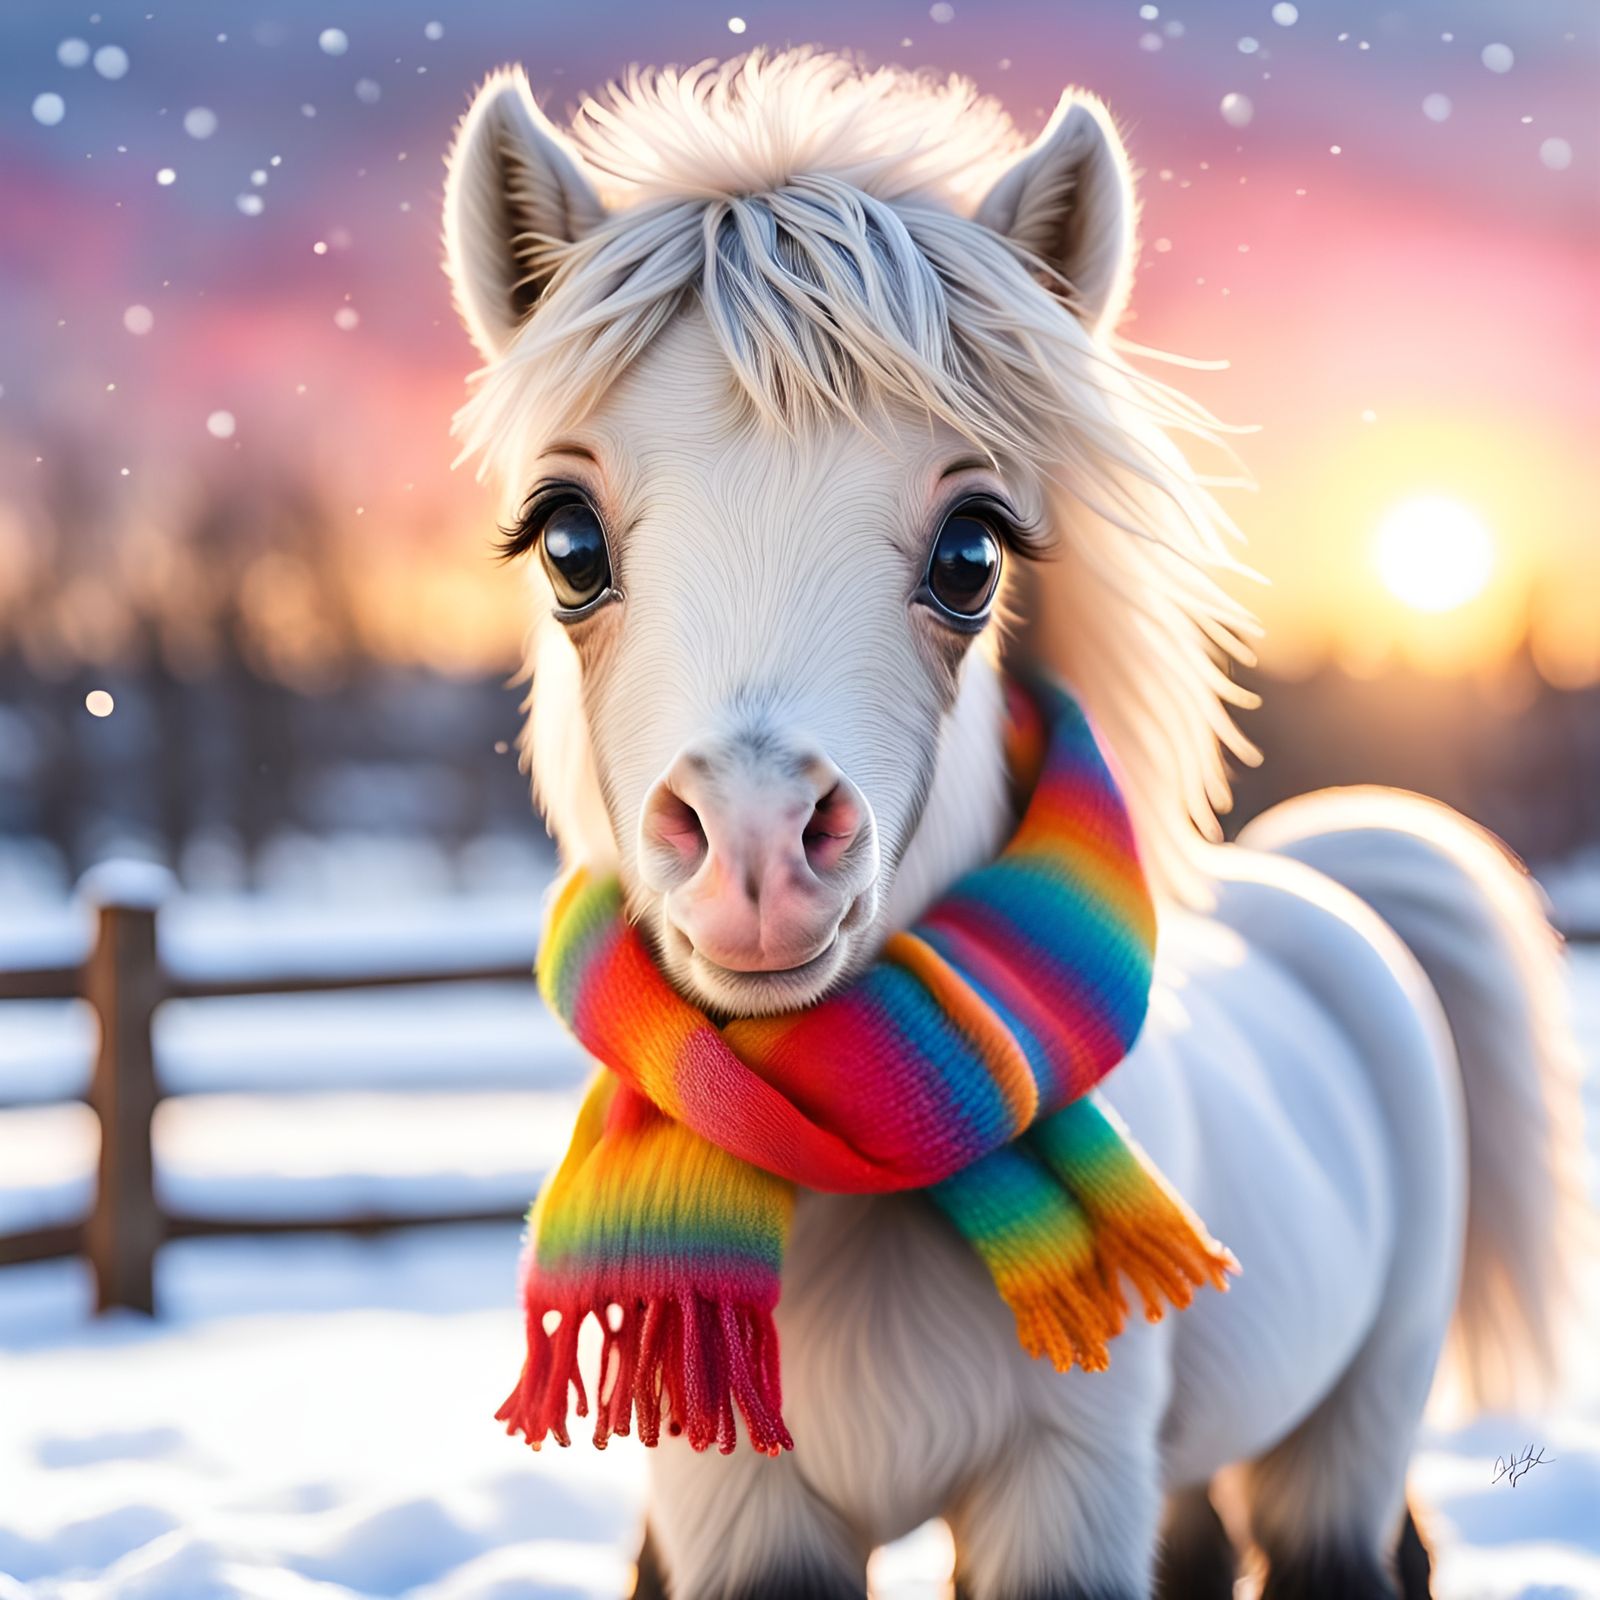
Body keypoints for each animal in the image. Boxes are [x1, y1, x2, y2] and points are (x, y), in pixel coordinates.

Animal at [440, 51, 1587, 1600]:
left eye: (972, 550)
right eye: (566, 540)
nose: (757, 841)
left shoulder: (1063, 1493)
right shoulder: (737, 1512)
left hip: (1347, 1429)